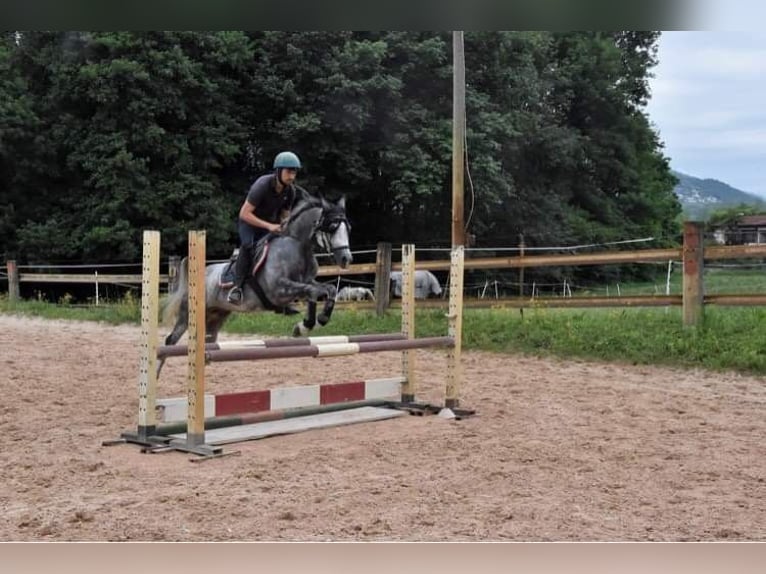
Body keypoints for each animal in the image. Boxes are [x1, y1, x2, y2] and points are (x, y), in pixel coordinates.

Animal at [164, 196, 356, 376]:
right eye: (332, 227)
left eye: (348, 229)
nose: (346, 259)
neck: (298, 246)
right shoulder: (279, 290)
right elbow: (313, 291)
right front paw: (309, 323)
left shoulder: (305, 282)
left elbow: (326, 290)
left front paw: (311, 323)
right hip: (187, 315)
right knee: (170, 341)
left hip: (216, 316)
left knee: (207, 342)